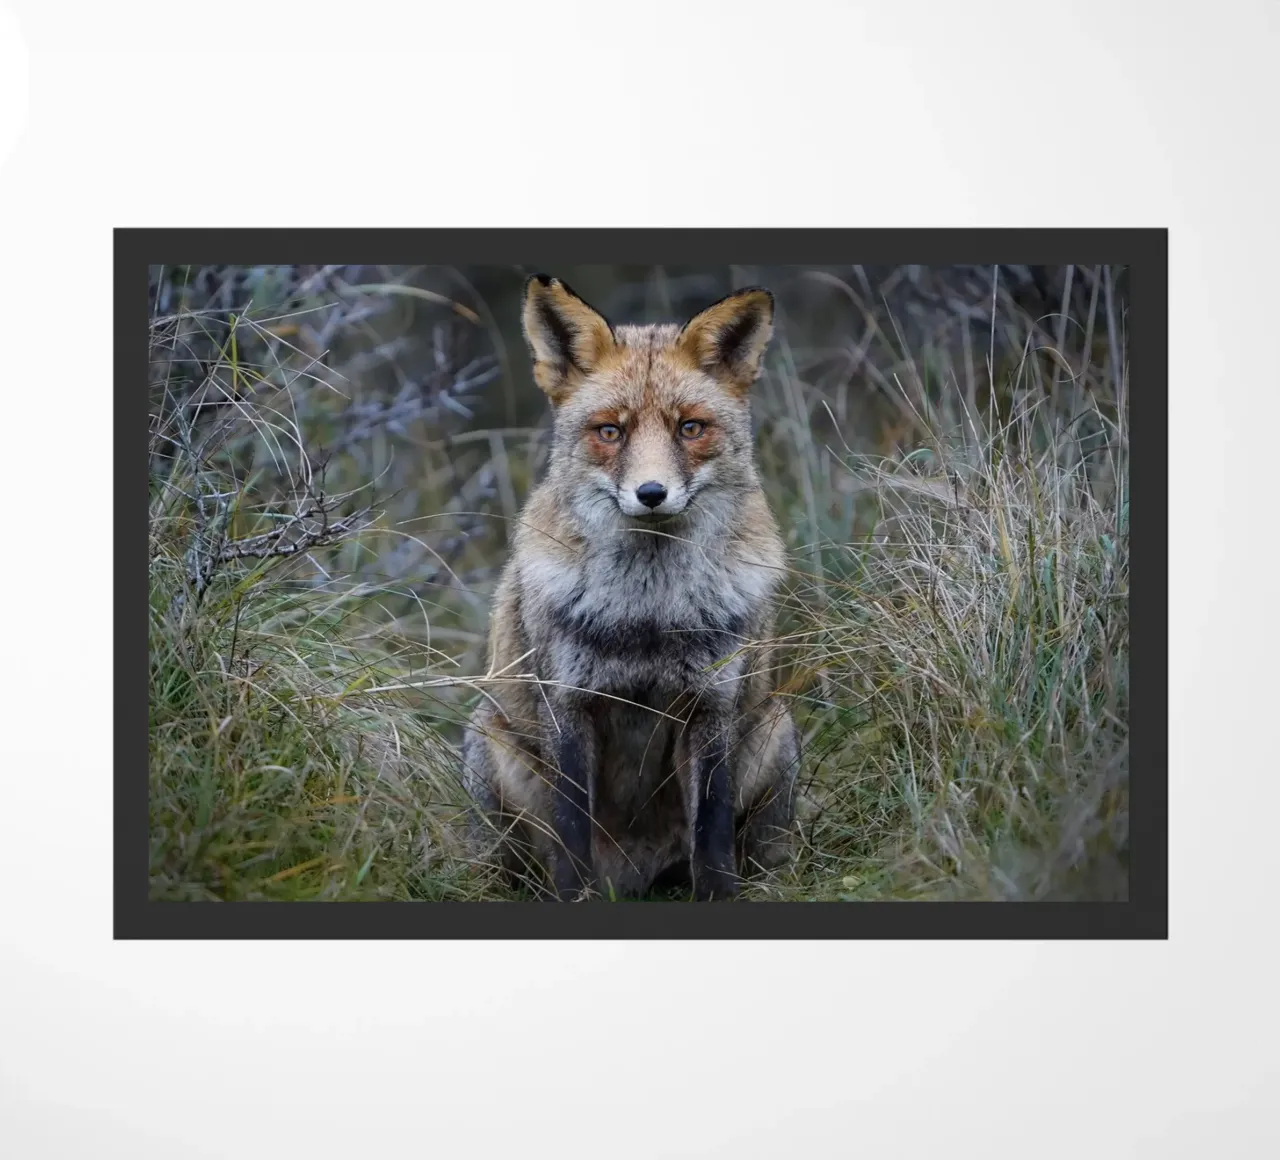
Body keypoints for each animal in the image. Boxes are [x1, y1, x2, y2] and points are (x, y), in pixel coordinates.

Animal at [460, 274, 800, 901]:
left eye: (690, 428)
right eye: (610, 432)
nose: (651, 493)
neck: (647, 614)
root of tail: (636, 877)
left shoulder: (710, 705)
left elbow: (712, 833)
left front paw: (719, 898)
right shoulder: (568, 705)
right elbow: (573, 834)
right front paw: (576, 900)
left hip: (775, 725)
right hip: (488, 747)